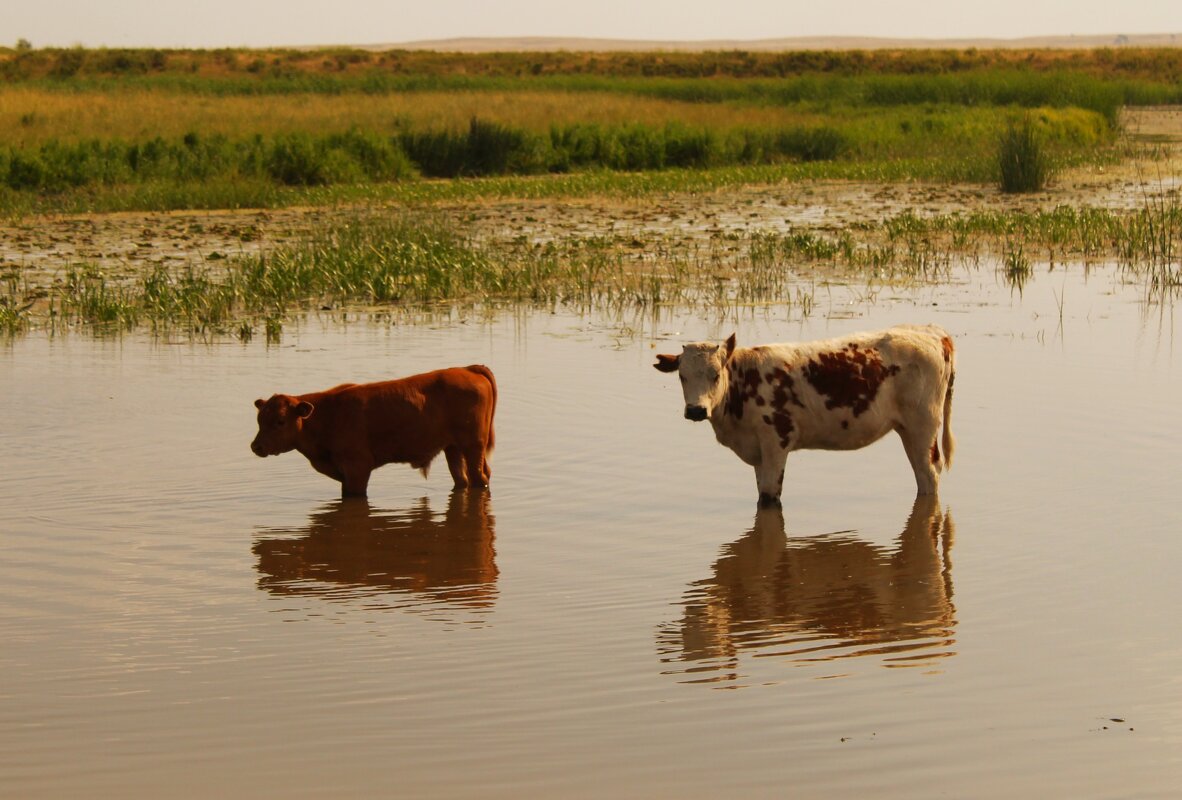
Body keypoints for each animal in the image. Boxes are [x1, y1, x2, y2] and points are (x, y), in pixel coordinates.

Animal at [254, 363, 498, 496]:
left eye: (280, 421)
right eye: (259, 419)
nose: (256, 446)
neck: (328, 416)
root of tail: (467, 369)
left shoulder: (357, 468)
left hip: (473, 444)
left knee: (479, 477)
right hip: (453, 447)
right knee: (462, 479)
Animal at [661, 321, 955, 503]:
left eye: (715, 374)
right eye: (682, 376)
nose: (696, 410)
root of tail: (933, 332)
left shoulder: (776, 442)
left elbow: (769, 497)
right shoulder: (757, 452)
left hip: (922, 427)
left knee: (928, 474)